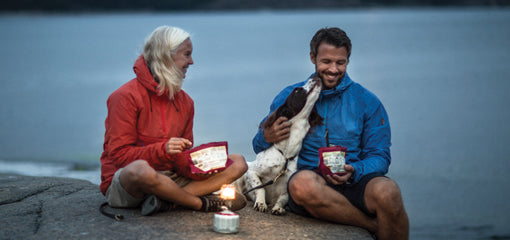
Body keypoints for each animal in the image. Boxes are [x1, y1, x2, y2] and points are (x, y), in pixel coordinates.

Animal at [236, 74, 322, 215]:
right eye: (297, 90)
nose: (316, 75)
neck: (284, 155)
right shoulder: (252, 172)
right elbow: (260, 188)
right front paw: (261, 203)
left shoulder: (289, 187)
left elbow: (282, 198)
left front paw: (278, 208)